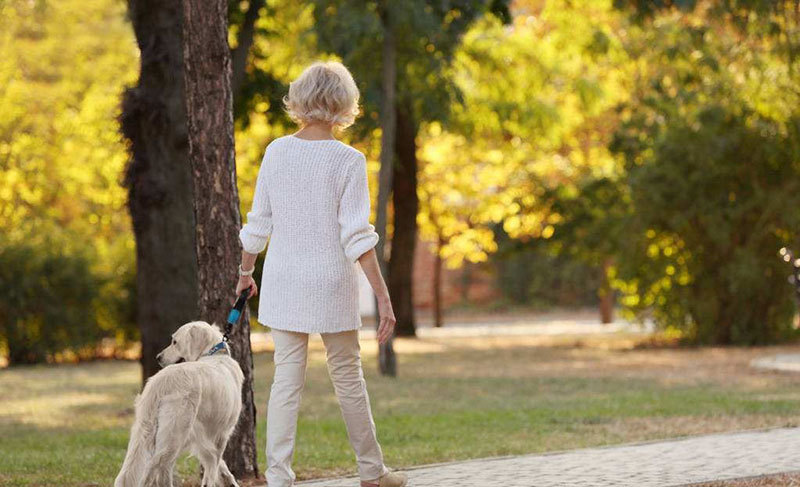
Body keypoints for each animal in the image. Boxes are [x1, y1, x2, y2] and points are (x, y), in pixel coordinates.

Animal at [114, 322, 242, 486]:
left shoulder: (202, 436)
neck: (213, 354)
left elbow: (217, 463)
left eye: (175, 342)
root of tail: (160, 381)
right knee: (157, 467)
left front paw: (228, 480)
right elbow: (213, 464)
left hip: (145, 430)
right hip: (175, 434)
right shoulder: (221, 435)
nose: (158, 357)